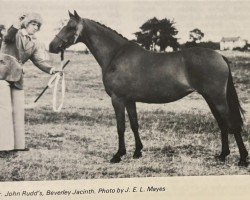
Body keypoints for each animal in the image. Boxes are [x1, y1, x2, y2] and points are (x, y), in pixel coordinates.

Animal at [49, 11, 248, 167]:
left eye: (70, 27)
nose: (52, 46)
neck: (115, 54)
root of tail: (220, 56)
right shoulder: (130, 100)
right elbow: (134, 124)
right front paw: (138, 152)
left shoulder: (117, 99)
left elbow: (120, 127)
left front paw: (118, 155)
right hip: (210, 98)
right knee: (222, 124)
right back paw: (222, 155)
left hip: (217, 98)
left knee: (231, 123)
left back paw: (242, 159)